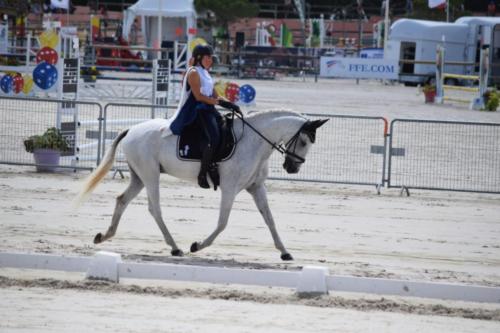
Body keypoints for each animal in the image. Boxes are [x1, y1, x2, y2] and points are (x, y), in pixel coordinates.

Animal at [75, 110, 328, 260]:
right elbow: (223, 223)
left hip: (139, 177)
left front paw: (284, 252)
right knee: (154, 208)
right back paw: (175, 247)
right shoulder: (229, 189)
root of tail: (132, 130)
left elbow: (270, 219)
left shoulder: (256, 188)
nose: (292, 168)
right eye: (303, 141)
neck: (254, 141)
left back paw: (105, 235)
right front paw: (197, 245)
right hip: (150, 175)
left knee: (122, 200)